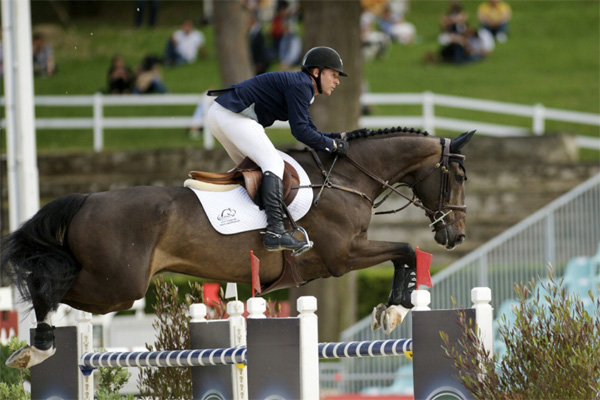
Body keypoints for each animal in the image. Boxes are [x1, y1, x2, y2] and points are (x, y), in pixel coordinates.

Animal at [2, 127, 476, 368]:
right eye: (458, 176)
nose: (456, 235)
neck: (346, 179)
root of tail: (85, 200)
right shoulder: (344, 255)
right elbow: (405, 249)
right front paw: (396, 309)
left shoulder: (347, 253)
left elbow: (404, 253)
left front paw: (391, 309)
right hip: (117, 286)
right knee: (48, 283)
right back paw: (38, 346)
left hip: (112, 286)